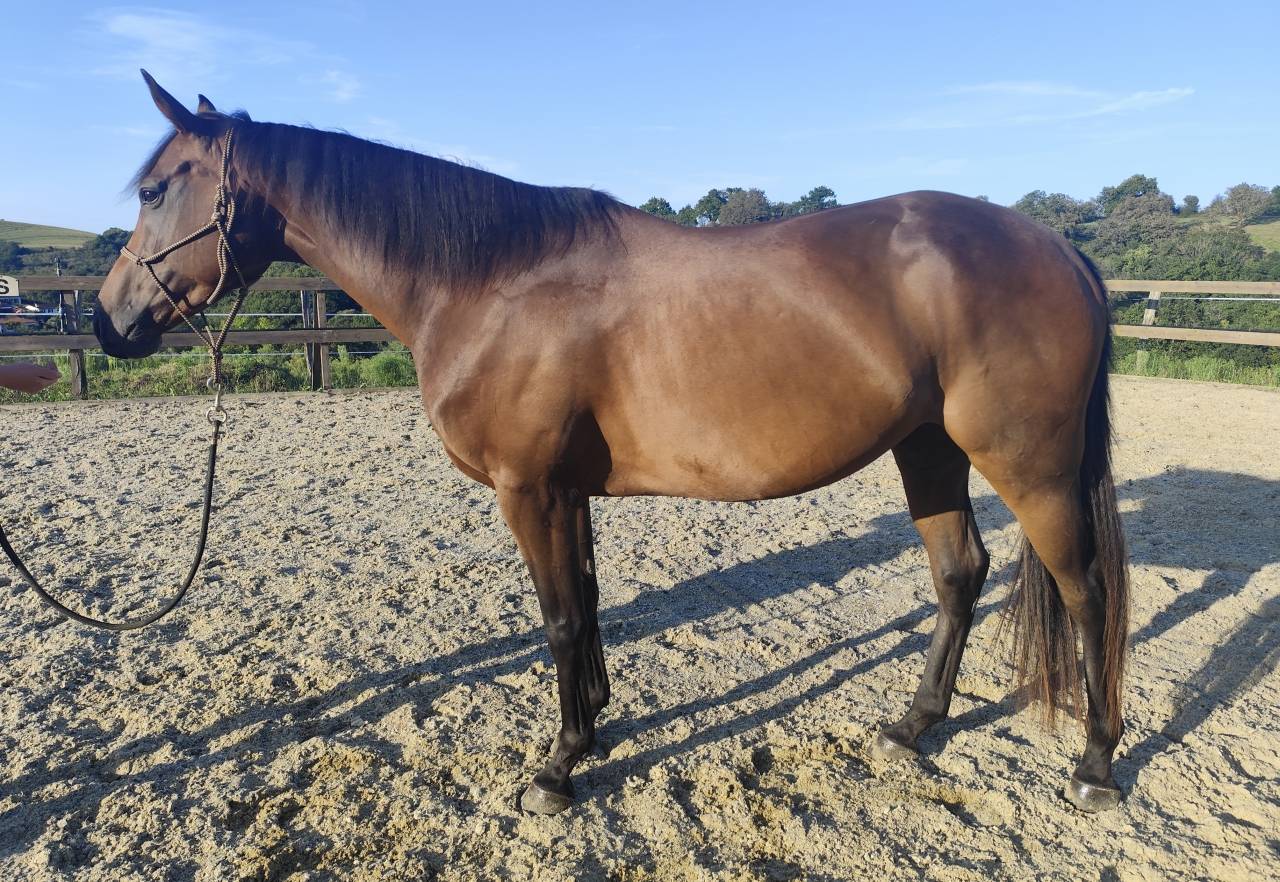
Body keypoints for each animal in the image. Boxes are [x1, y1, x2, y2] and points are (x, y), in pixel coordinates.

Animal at [95, 71, 1129, 816]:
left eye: (155, 188)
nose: (109, 323)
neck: (492, 282)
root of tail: (1058, 248)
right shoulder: (567, 491)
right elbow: (586, 608)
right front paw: (592, 727)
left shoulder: (529, 488)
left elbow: (558, 619)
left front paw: (557, 770)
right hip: (930, 450)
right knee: (960, 573)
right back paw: (913, 726)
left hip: (1029, 466)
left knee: (1087, 590)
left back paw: (1094, 764)